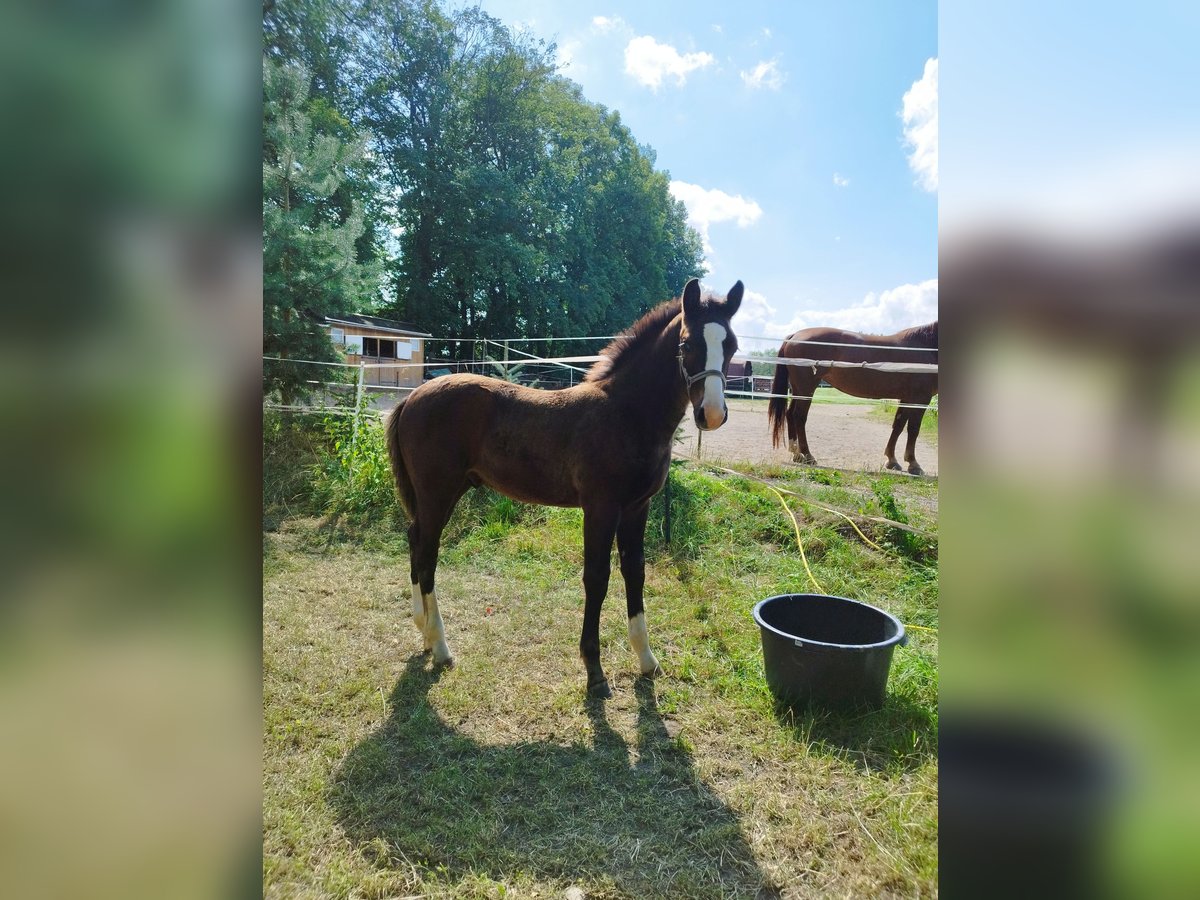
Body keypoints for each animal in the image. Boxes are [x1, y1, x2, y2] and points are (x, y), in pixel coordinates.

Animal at [386, 280, 739, 696]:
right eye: (686, 344)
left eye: (731, 346)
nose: (712, 413)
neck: (626, 413)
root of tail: (412, 397)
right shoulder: (601, 507)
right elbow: (597, 577)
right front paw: (594, 670)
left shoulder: (638, 507)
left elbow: (635, 571)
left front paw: (647, 659)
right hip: (437, 492)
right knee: (427, 554)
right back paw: (441, 647)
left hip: (439, 494)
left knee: (414, 539)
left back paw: (424, 633)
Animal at [768, 326, 936, 480]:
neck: (925, 346)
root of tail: (795, 335)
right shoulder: (921, 398)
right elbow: (913, 429)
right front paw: (914, 464)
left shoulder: (907, 398)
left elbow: (898, 426)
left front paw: (892, 461)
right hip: (806, 388)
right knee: (799, 416)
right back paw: (808, 455)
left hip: (798, 389)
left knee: (790, 414)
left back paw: (796, 454)